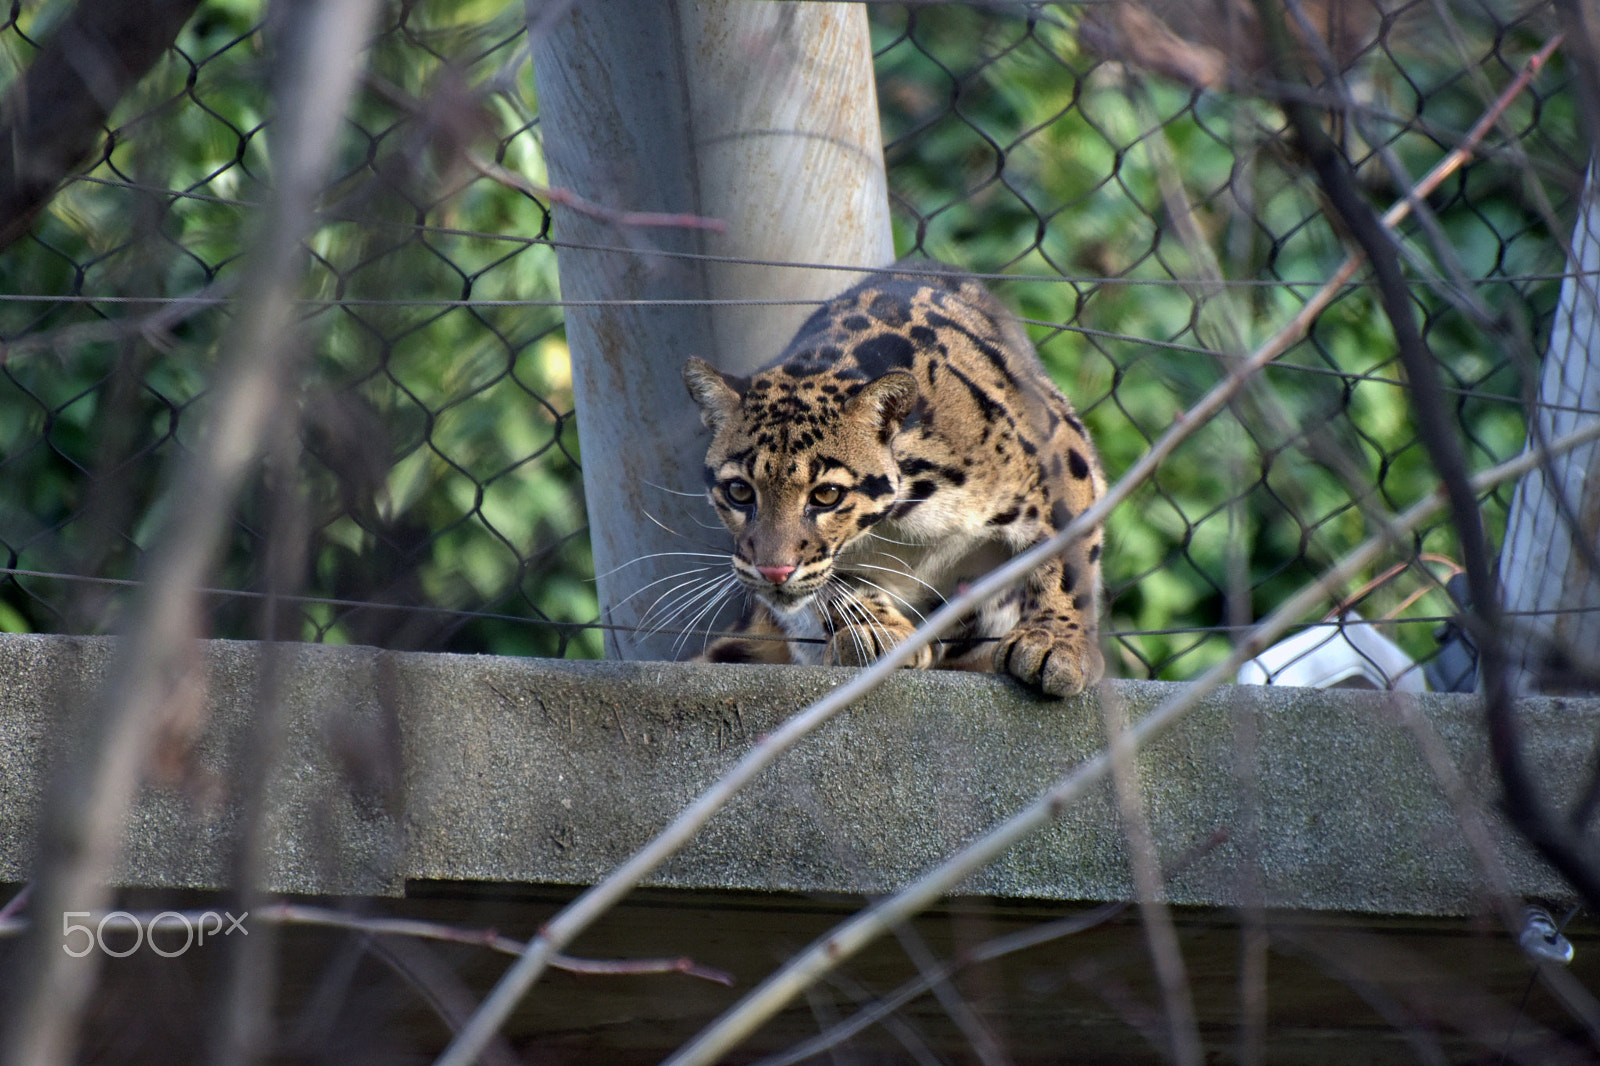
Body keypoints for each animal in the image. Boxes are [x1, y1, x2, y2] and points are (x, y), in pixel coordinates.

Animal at [681, 252, 1107, 694]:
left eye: (826, 495)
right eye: (739, 491)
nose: (772, 572)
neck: (909, 511)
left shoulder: (1062, 449)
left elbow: (1069, 556)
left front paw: (1057, 642)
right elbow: (838, 584)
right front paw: (875, 633)